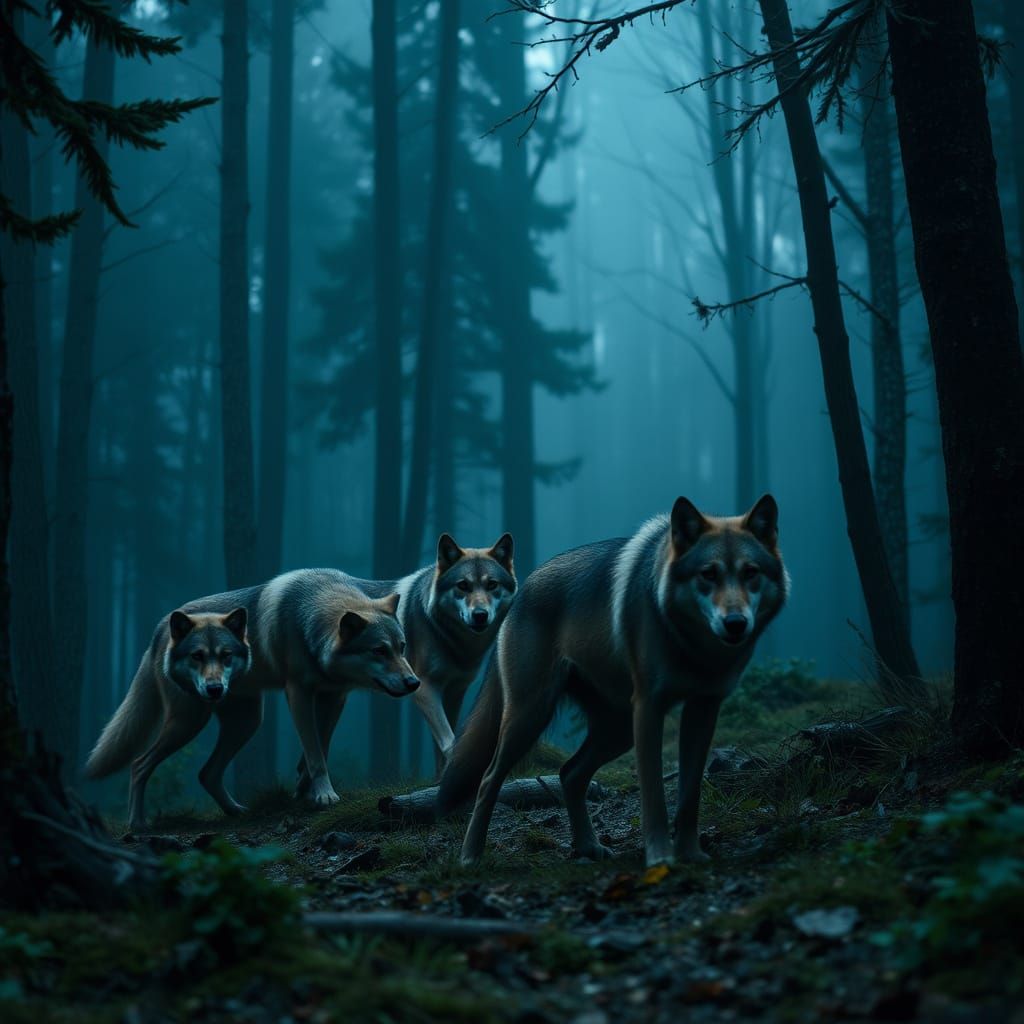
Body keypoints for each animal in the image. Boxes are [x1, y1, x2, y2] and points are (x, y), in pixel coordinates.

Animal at [85, 573, 418, 828]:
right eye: (379, 651)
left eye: (401, 647)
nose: (414, 683)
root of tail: (160, 628)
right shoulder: (298, 694)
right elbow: (315, 754)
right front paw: (323, 794)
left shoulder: (335, 698)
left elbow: (318, 749)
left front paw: (304, 789)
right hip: (189, 722)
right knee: (139, 764)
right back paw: (137, 824)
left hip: (246, 722)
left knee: (207, 773)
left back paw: (237, 812)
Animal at [294, 533, 517, 795]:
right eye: (463, 585)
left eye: (492, 585)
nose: (480, 615)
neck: (449, 638)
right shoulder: (425, 688)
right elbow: (449, 741)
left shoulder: (454, 692)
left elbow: (443, 743)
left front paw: (441, 781)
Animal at [436, 495, 788, 868]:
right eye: (709, 574)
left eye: (750, 573)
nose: (736, 623)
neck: (691, 646)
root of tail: (521, 587)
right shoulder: (649, 708)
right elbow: (654, 797)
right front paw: (660, 859)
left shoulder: (704, 709)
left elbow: (690, 794)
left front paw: (691, 854)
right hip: (530, 717)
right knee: (488, 780)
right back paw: (470, 857)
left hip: (616, 731)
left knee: (569, 773)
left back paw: (588, 847)